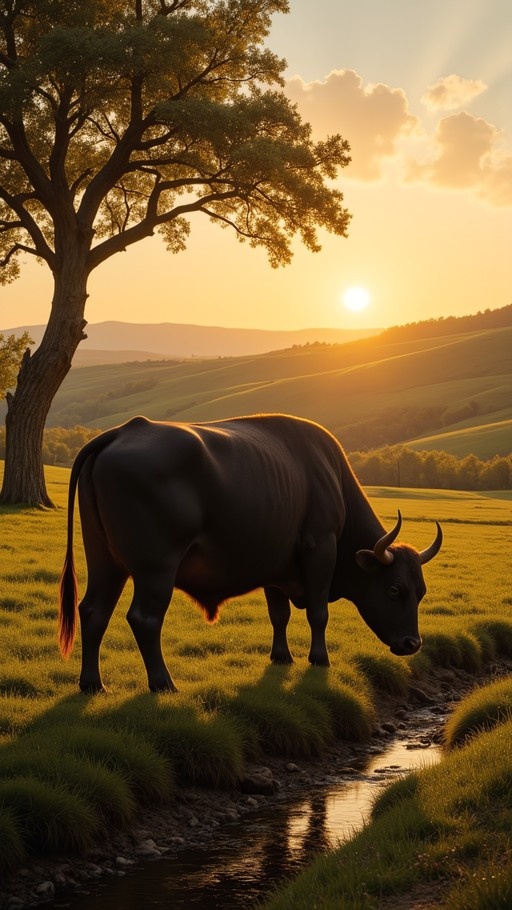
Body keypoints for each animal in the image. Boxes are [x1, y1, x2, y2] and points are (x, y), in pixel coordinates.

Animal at [59, 414, 442, 693]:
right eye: (394, 589)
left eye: (422, 591)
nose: (413, 643)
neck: (330, 478)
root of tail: (122, 432)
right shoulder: (320, 547)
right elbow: (318, 612)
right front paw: (319, 658)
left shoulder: (276, 565)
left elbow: (279, 614)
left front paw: (282, 656)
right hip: (155, 570)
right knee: (144, 619)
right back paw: (163, 683)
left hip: (105, 561)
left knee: (93, 611)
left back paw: (92, 684)